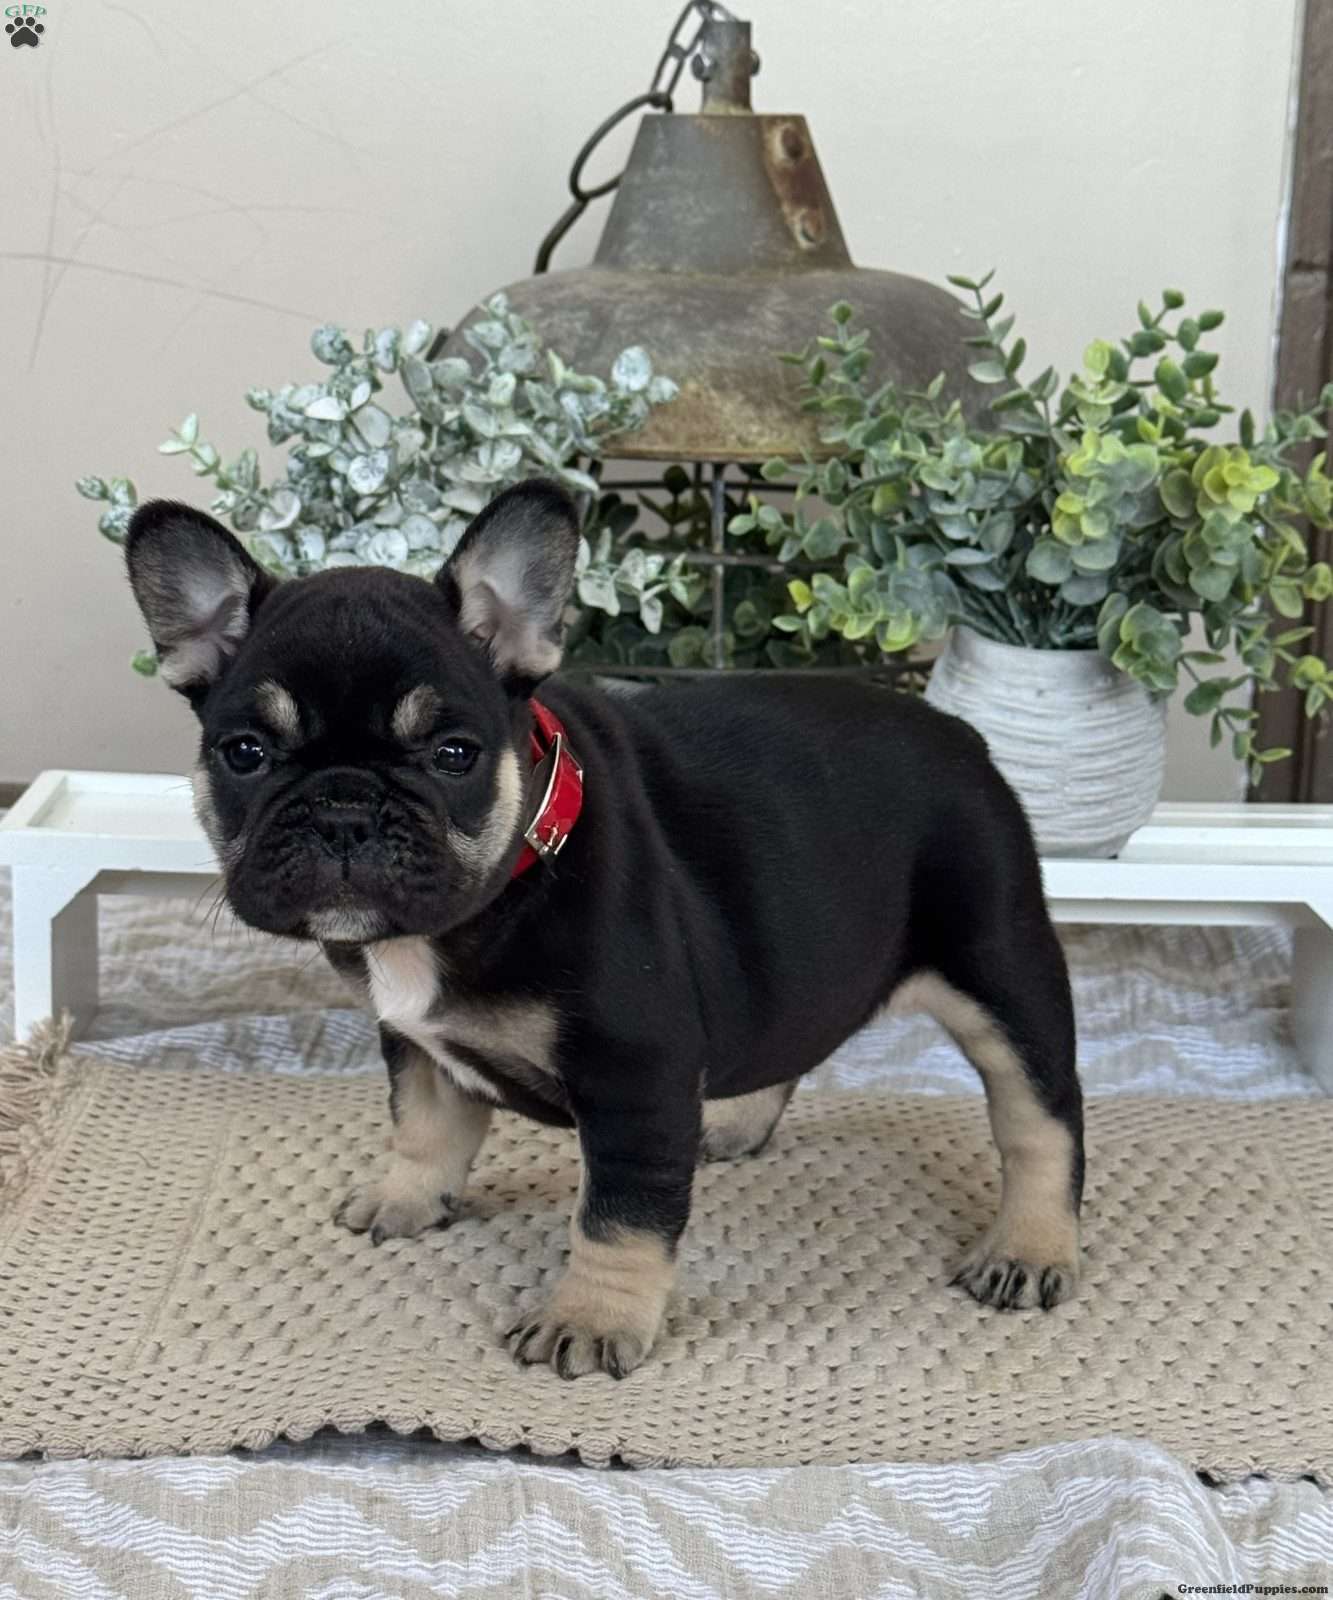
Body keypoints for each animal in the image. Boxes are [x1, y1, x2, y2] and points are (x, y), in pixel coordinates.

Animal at [125, 479, 1084, 1380]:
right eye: (244, 753)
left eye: (453, 755)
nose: (344, 808)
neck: (502, 883)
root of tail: (963, 737)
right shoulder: (416, 1044)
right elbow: (424, 1128)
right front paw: (407, 1199)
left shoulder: (636, 1076)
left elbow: (618, 1214)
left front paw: (586, 1320)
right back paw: (731, 1119)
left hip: (998, 965)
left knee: (1041, 1118)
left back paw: (1028, 1248)